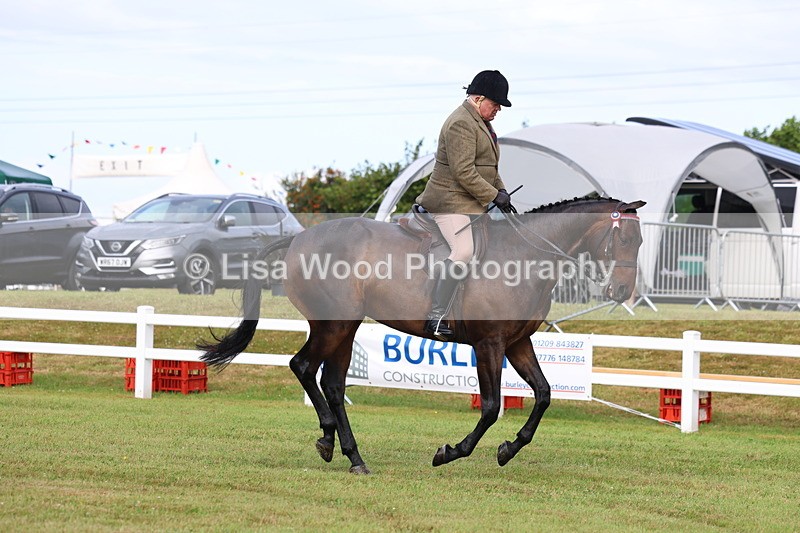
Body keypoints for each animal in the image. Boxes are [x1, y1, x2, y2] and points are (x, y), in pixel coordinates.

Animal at [199, 196, 646, 474]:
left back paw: (349, 453)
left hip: (344, 327)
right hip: (336, 324)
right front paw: (450, 453)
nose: (621, 291)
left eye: (641, 240)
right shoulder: (489, 345)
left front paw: (508, 449)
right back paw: (332, 442)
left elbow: (544, 394)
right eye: (625, 238)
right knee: (304, 366)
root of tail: (300, 238)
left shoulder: (517, 344)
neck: (525, 257)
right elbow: (490, 407)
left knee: (331, 382)